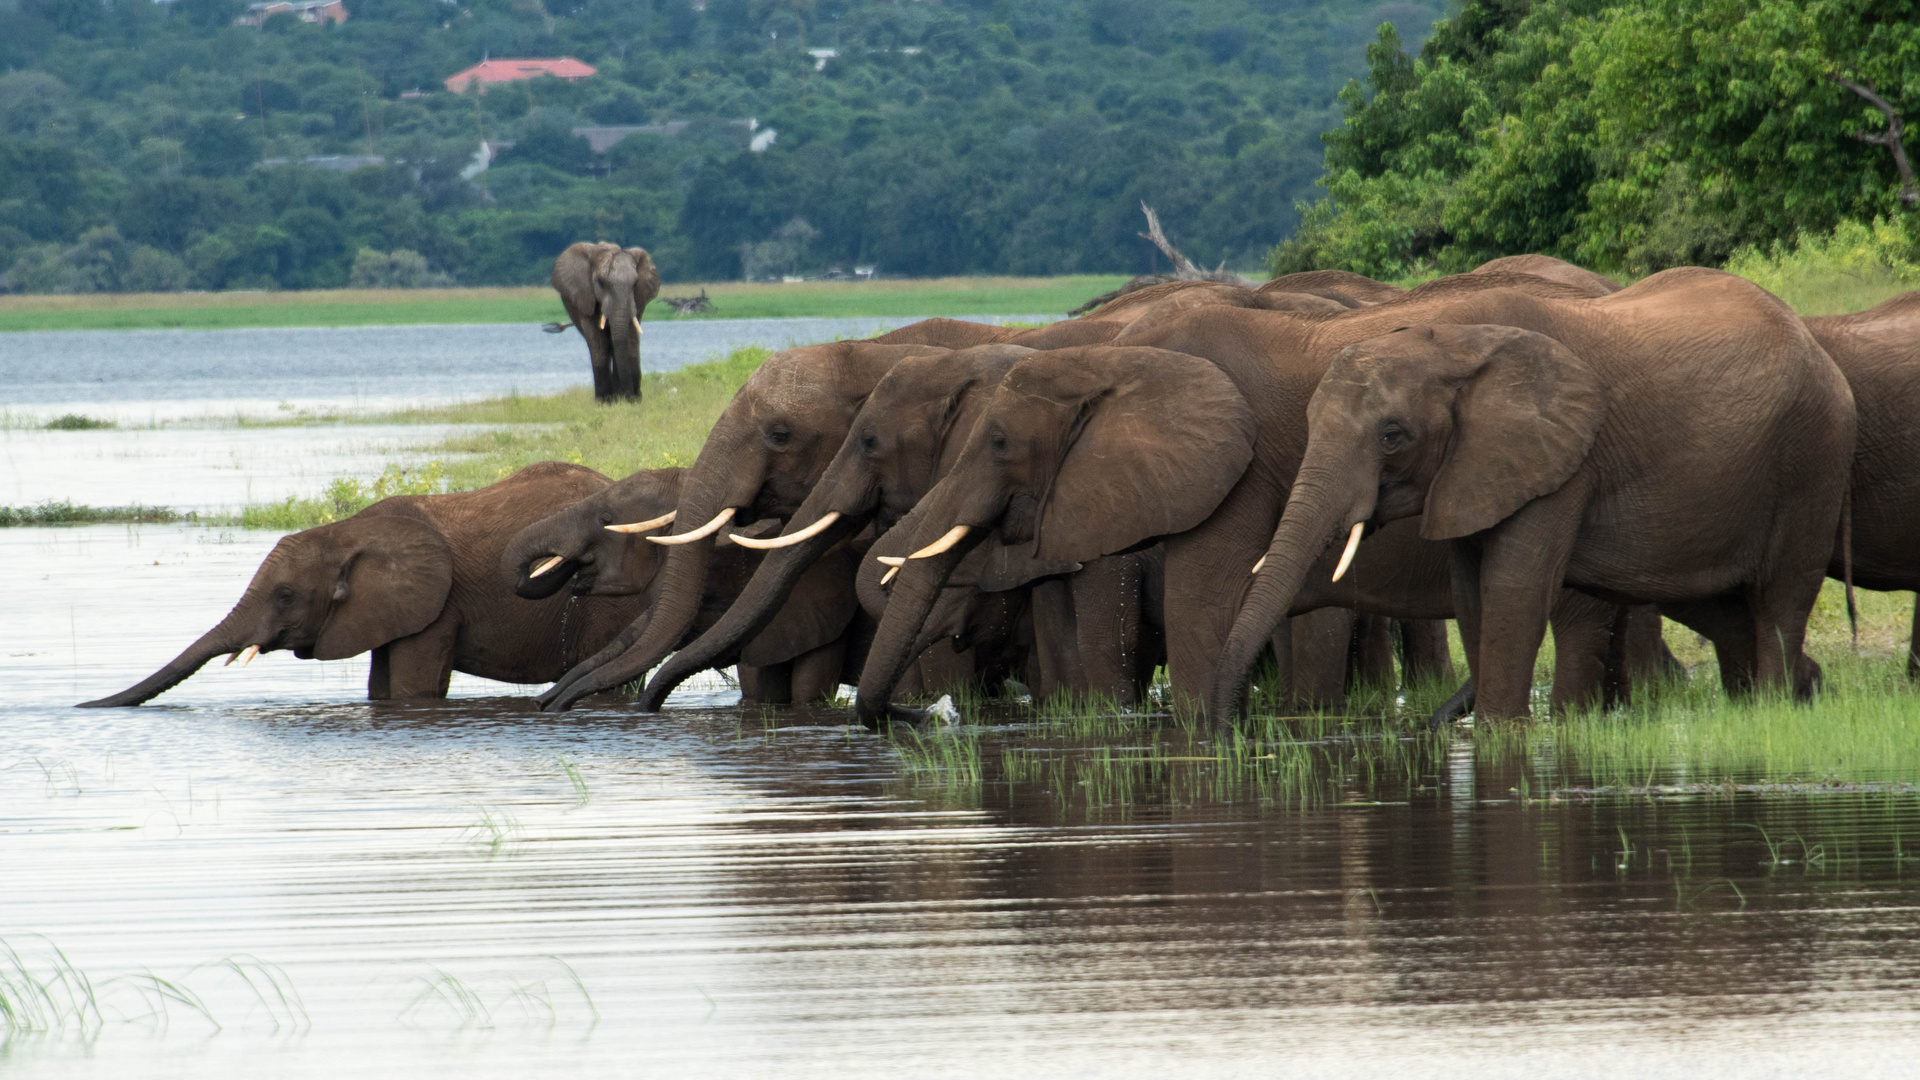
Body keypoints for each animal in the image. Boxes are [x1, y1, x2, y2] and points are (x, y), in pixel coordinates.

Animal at [552, 239, 664, 399]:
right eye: (601, 282)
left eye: (635, 283)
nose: (632, 396)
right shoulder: (585, 296)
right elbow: (598, 340)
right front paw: (604, 401)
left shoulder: (638, 298)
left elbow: (629, 337)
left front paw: (627, 399)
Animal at [1213, 269, 1858, 718]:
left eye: (1393, 436)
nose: (1223, 732)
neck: (1456, 344)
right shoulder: (1474, 469)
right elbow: (1471, 591)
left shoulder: (1562, 459)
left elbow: (1514, 586)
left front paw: (1501, 734)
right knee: (1723, 603)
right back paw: (1806, 689)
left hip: (1814, 455)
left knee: (1780, 596)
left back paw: (1775, 707)